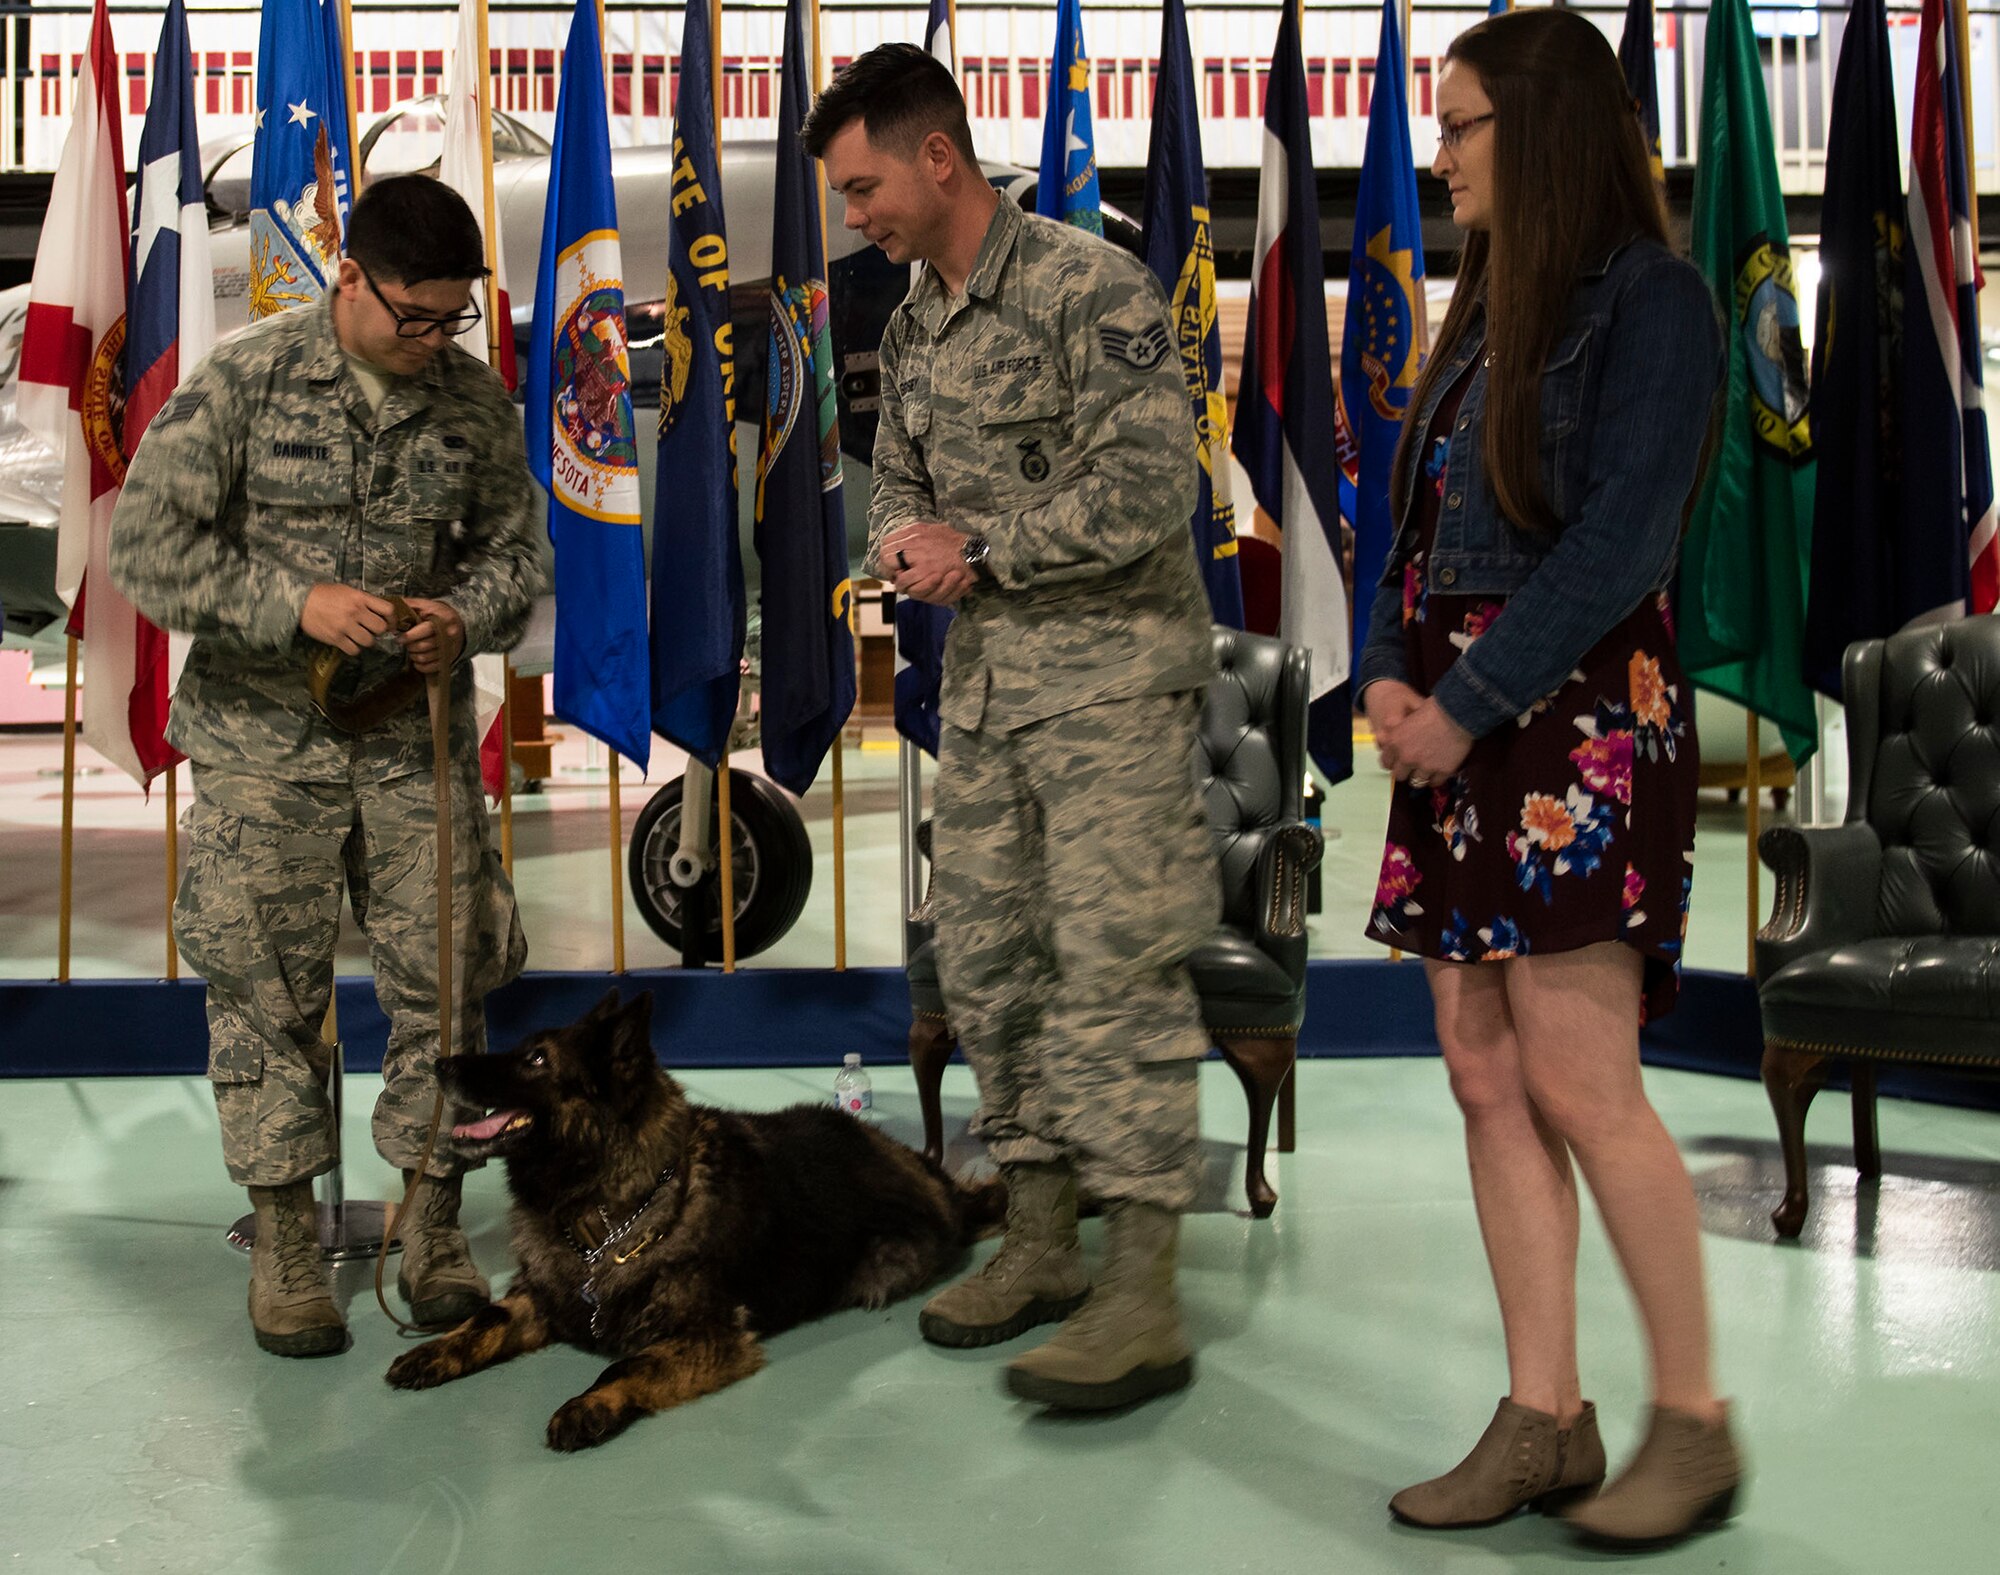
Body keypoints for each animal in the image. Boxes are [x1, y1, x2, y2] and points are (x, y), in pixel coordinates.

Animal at [384, 995, 1008, 1455]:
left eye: (536, 1060)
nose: (439, 1065)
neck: (608, 1213)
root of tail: (940, 1183)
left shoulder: (708, 1335)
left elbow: (627, 1364)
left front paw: (587, 1405)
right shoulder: (542, 1292)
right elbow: (486, 1318)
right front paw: (435, 1351)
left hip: (883, 1266)